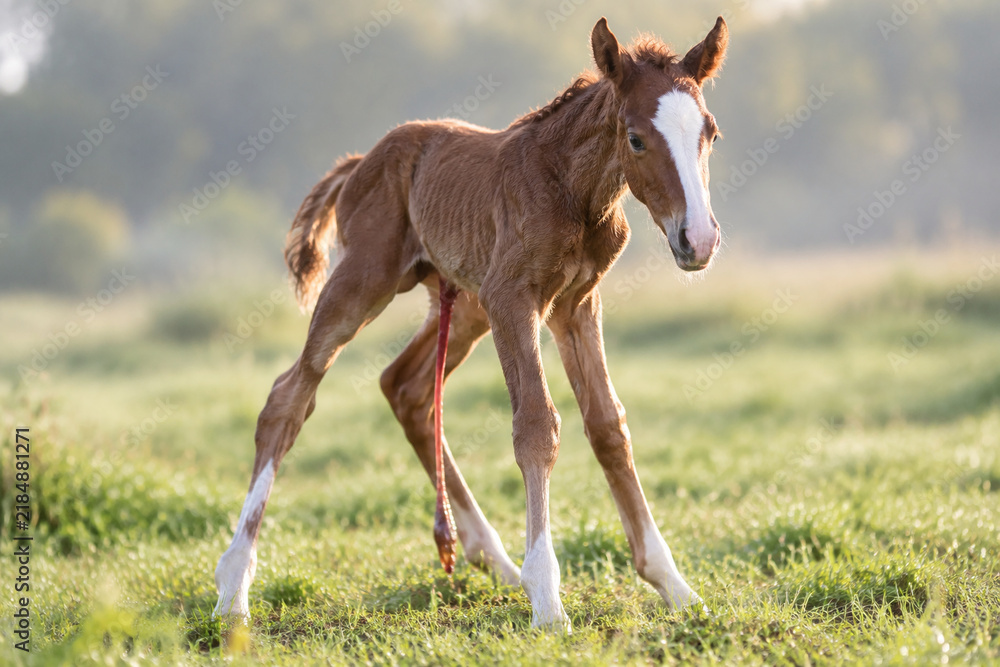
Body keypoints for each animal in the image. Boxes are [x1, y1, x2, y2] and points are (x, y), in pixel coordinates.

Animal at [214, 16, 728, 631]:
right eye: (635, 138)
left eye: (710, 134)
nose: (698, 239)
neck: (573, 190)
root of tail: (359, 161)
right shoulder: (513, 299)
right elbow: (536, 426)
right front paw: (548, 601)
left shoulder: (576, 304)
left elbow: (608, 425)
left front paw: (676, 587)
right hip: (366, 280)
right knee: (289, 397)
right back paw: (233, 587)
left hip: (462, 305)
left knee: (405, 387)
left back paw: (495, 561)